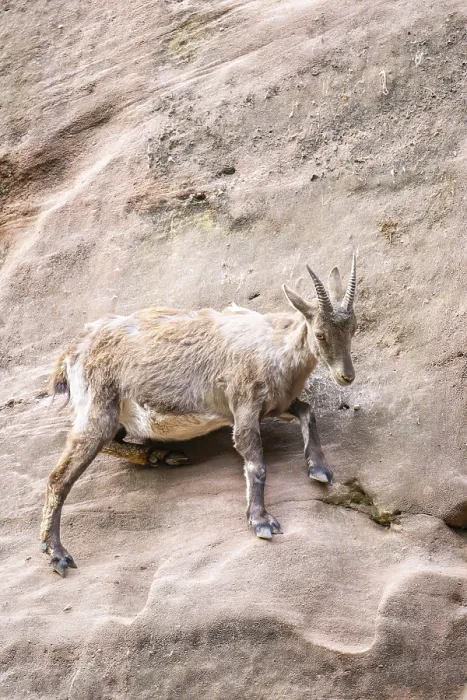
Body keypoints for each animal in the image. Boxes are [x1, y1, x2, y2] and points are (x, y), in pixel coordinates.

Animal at [41, 255, 357, 576]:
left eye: (353, 329)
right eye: (320, 334)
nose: (346, 376)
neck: (274, 347)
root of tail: (72, 352)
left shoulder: (276, 404)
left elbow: (307, 411)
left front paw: (319, 468)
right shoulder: (244, 406)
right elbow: (256, 463)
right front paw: (261, 521)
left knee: (107, 443)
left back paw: (160, 455)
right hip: (98, 407)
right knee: (59, 477)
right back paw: (57, 554)